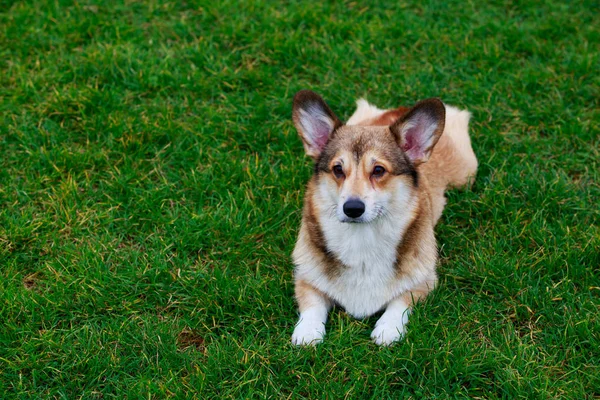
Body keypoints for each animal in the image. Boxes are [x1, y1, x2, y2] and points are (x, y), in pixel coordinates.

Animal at [290, 89, 478, 346]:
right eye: (338, 169)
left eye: (378, 170)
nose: (353, 208)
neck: (361, 240)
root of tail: (399, 109)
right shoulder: (305, 276)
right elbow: (312, 303)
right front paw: (307, 331)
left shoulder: (424, 281)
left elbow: (401, 301)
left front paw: (388, 328)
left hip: (466, 175)